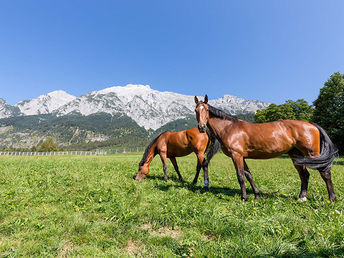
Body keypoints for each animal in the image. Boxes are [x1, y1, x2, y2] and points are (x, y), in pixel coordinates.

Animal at [195, 94, 338, 202]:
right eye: (196, 110)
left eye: (206, 110)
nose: (201, 127)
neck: (230, 128)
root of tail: (311, 124)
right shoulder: (242, 156)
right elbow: (248, 174)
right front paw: (257, 195)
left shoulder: (237, 155)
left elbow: (240, 176)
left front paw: (244, 198)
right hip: (296, 155)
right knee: (304, 175)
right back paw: (302, 197)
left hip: (312, 154)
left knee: (325, 173)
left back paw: (332, 199)